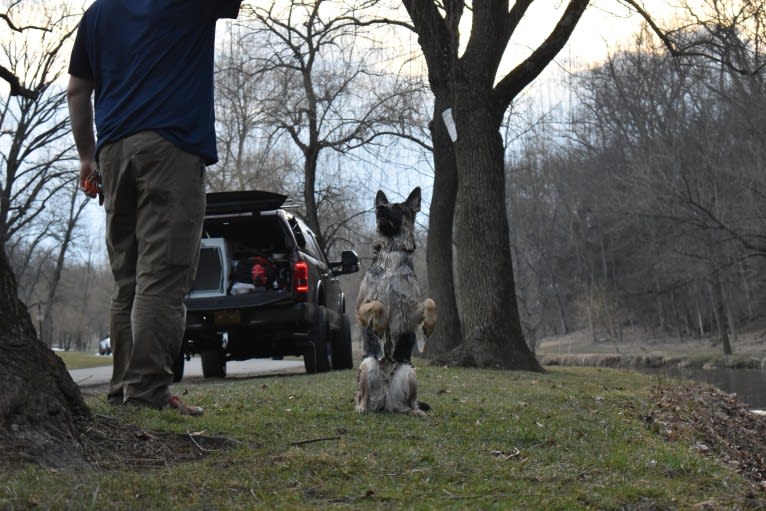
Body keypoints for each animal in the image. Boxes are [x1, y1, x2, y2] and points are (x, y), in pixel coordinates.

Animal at [356, 188, 438, 416]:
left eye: (398, 207)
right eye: (381, 206)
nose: (380, 208)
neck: (391, 252)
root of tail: (385, 397)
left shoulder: (410, 311)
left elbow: (430, 301)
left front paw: (429, 326)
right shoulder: (360, 308)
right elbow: (378, 304)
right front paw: (379, 325)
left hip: (409, 372)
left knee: (410, 403)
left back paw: (417, 412)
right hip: (367, 365)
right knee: (362, 396)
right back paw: (361, 408)